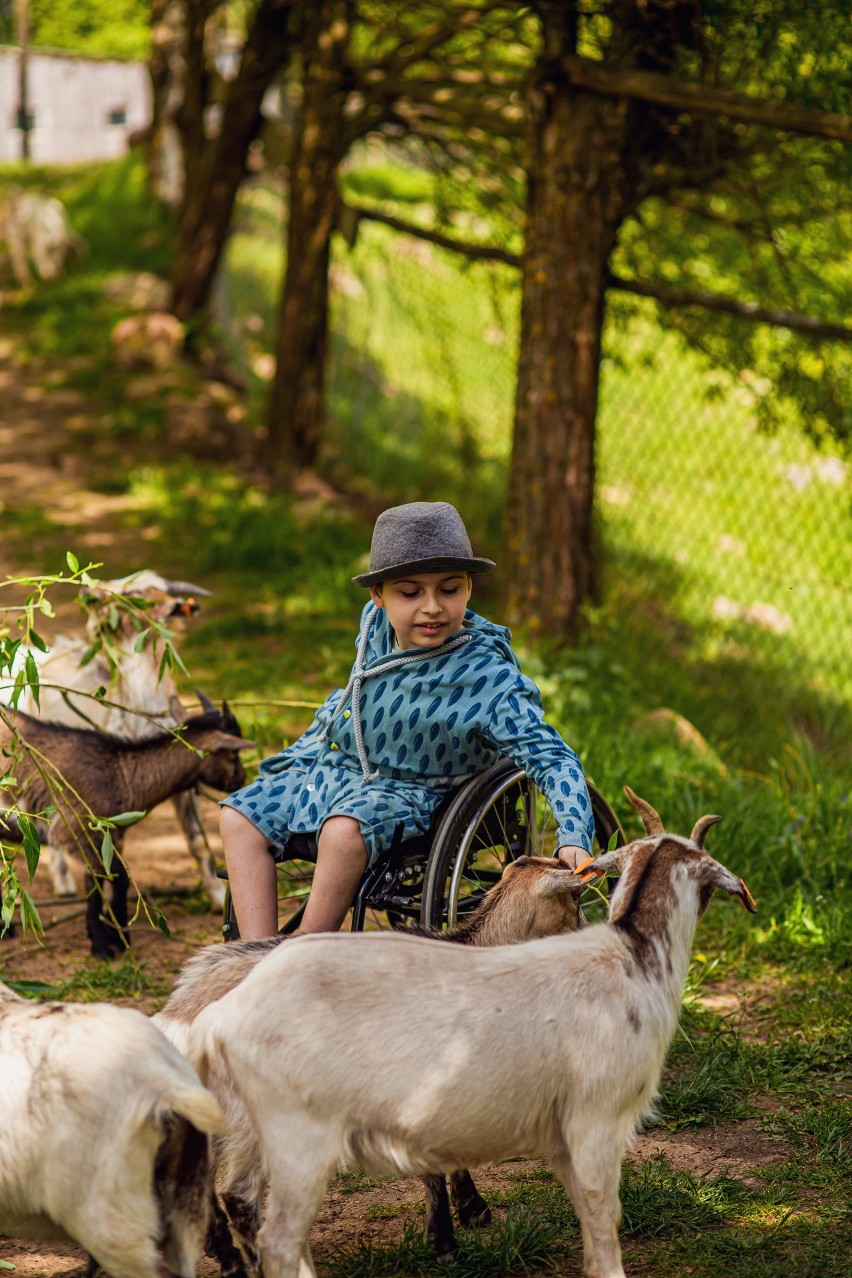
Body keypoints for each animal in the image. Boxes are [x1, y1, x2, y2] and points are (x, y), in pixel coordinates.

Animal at [183, 787, 756, 1278]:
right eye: (573, 902)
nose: (587, 930)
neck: (478, 943)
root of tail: (197, 997)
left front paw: (461, 1214)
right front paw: (450, 1232)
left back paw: (224, 1254)